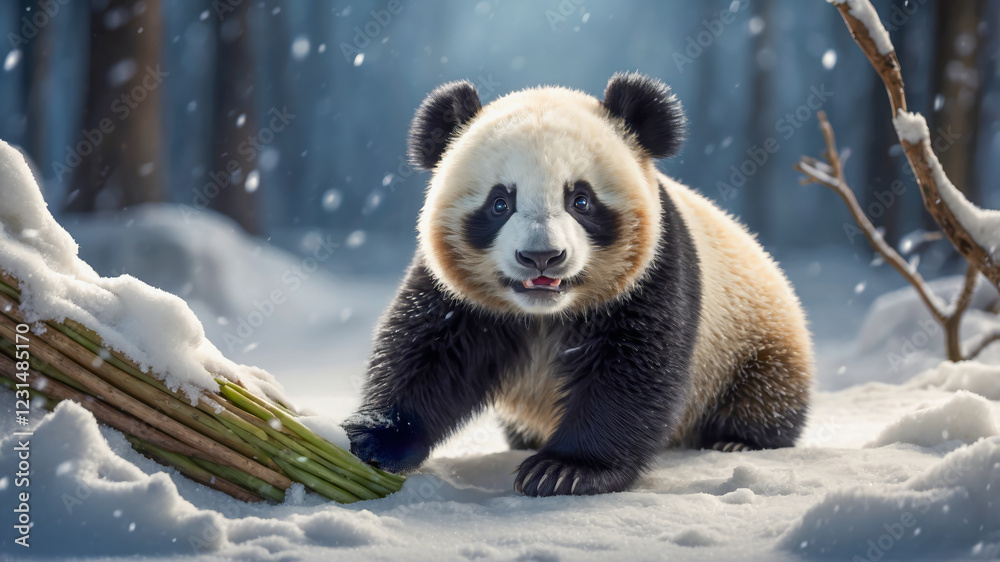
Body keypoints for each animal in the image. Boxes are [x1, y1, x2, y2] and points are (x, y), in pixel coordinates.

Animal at [343, 72, 813, 497]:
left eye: (581, 200)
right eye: (500, 203)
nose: (542, 257)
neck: (545, 313)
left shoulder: (655, 269)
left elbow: (632, 372)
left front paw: (564, 471)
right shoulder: (456, 293)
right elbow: (428, 351)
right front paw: (376, 441)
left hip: (753, 337)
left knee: (765, 391)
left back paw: (736, 440)